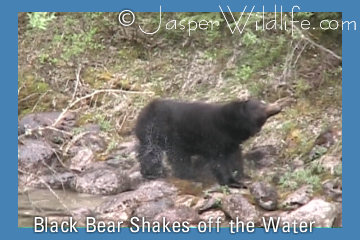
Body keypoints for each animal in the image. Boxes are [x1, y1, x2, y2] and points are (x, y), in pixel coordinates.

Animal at [134, 97, 282, 188]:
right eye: (262, 104)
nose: (279, 105)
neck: (229, 127)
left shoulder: (231, 143)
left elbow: (235, 158)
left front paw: (243, 175)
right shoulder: (212, 137)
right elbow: (219, 162)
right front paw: (232, 181)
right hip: (160, 134)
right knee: (162, 155)